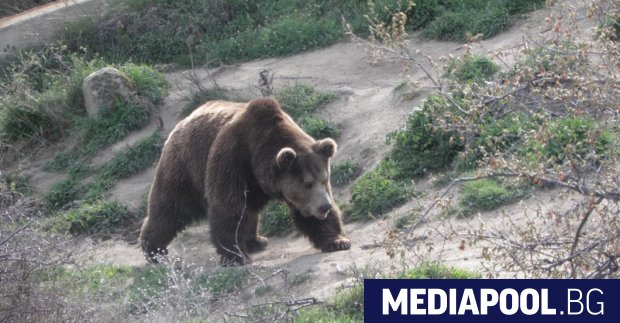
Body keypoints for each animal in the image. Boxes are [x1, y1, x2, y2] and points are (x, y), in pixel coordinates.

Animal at [139, 97, 348, 264]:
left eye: (324, 179)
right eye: (307, 184)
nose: (325, 206)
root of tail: (182, 122)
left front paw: (337, 241)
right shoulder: (232, 160)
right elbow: (228, 208)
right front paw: (236, 256)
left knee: (250, 211)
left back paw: (256, 241)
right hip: (185, 166)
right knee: (170, 207)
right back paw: (154, 250)